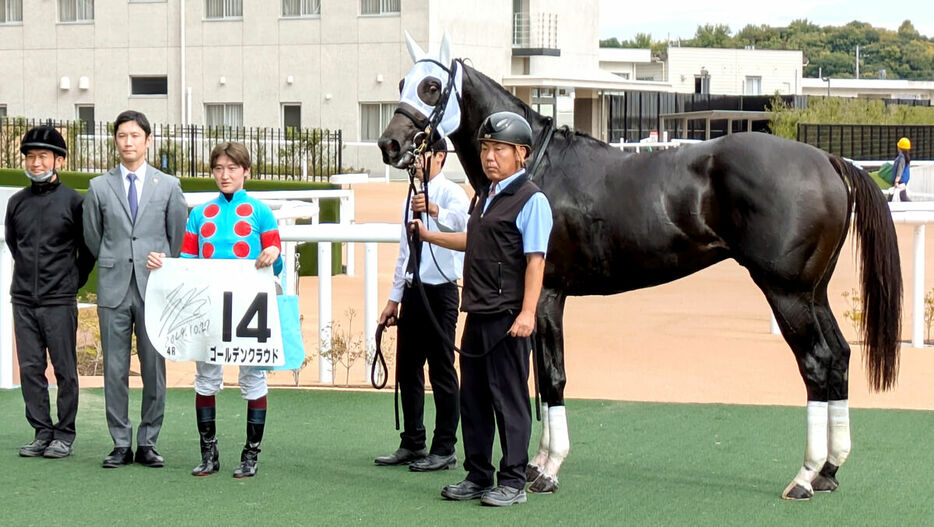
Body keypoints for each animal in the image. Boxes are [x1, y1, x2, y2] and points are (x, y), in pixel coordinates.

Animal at [376, 39, 904, 502]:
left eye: (430, 87)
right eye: (402, 81)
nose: (390, 143)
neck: (535, 168)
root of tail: (829, 160)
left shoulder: (546, 294)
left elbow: (553, 378)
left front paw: (547, 470)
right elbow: (543, 380)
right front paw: (536, 464)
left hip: (787, 293)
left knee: (816, 363)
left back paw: (804, 477)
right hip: (814, 292)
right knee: (839, 357)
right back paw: (830, 470)